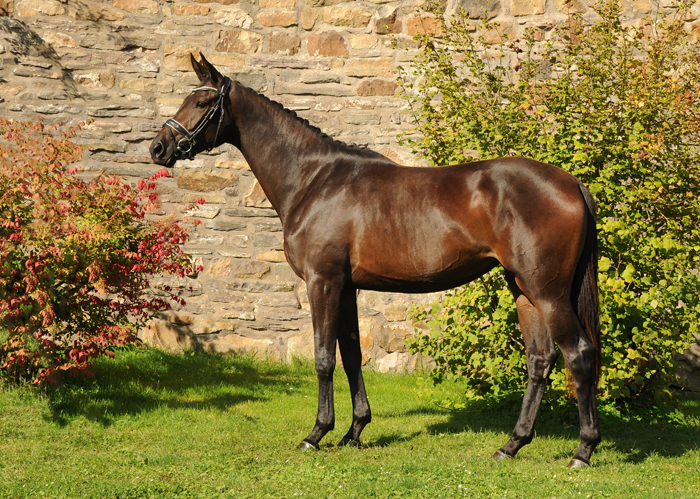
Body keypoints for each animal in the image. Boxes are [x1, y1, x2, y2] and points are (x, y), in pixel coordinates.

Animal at [149, 54, 600, 468]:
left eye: (202, 101)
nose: (158, 147)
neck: (313, 181)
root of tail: (572, 183)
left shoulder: (322, 281)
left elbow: (323, 357)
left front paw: (317, 433)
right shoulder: (346, 286)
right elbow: (351, 355)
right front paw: (355, 431)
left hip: (547, 292)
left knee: (579, 354)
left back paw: (583, 450)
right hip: (523, 289)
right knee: (540, 360)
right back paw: (512, 445)